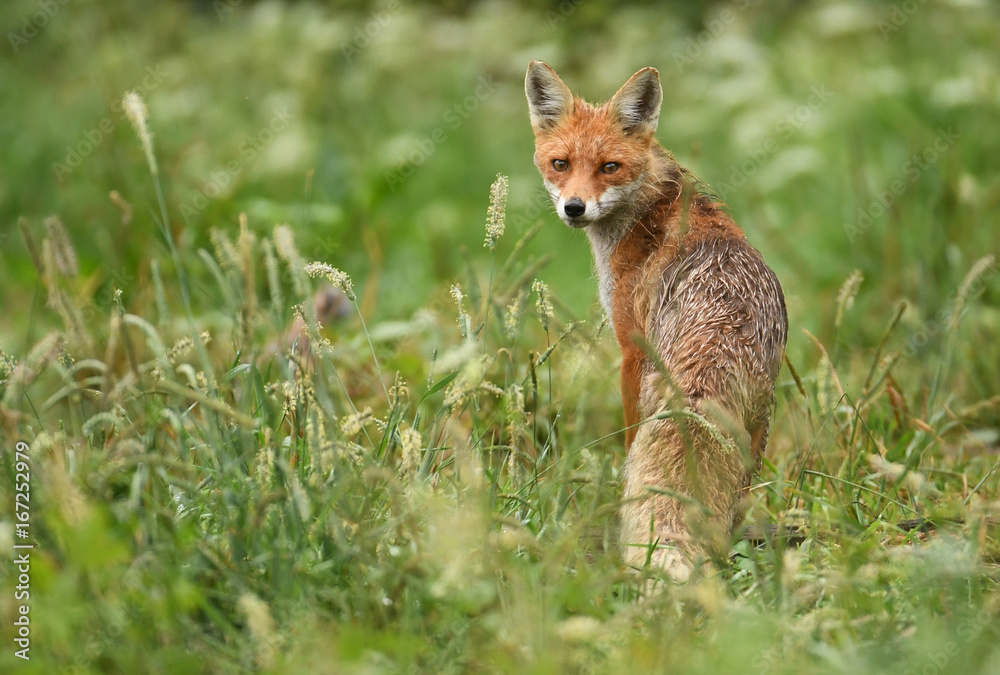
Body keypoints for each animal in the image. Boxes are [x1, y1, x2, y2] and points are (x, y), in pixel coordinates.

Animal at [528, 62, 784, 580]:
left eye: (609, 167)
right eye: (560, 164)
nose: (574, 208)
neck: (651, 206)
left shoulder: (630, 348)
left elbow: (626, 443)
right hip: (761, 426)